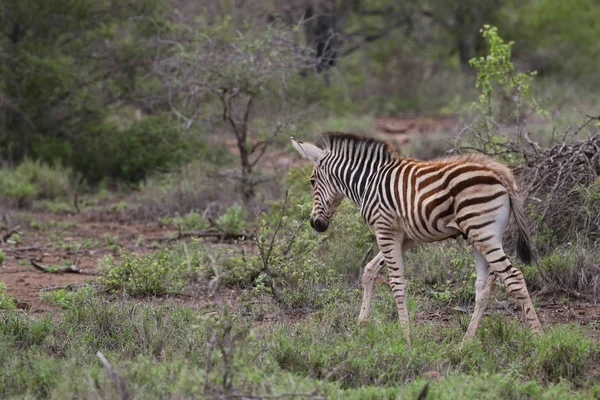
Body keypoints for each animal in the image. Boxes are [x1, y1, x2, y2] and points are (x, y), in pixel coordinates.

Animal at [292, 132, 544, 338]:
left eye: (312, 181)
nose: (315, 224)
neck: (368, 182)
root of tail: (499, 172)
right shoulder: (405, 237)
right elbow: (370, 270)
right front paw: (362, 323)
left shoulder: (385, 231)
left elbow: (396, 283)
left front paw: (406, 335)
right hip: (479, 237)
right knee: (484, 287)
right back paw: (465, 342)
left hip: (483, 233)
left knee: (514, 277)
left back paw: (538, 338)